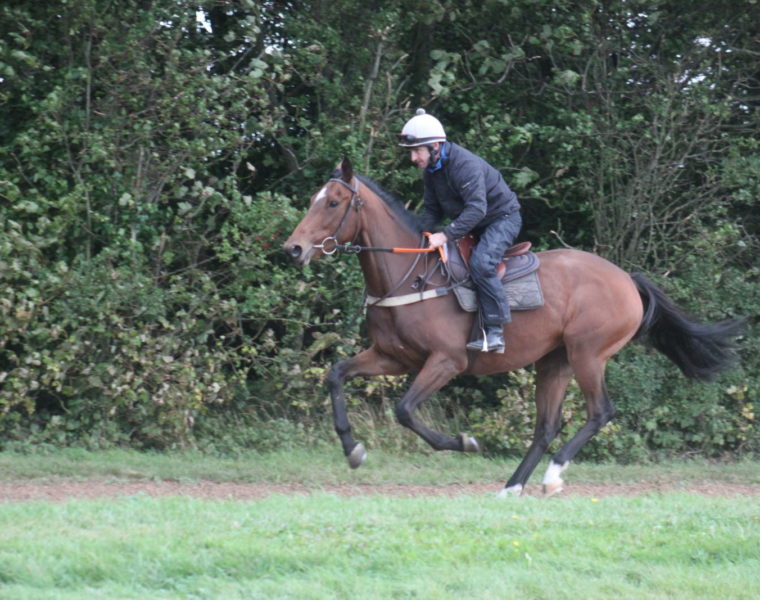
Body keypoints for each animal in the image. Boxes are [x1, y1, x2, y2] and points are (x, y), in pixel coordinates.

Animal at [283, 158, 744, 496]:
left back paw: (552, 476)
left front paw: (465, 443)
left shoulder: (446, 361)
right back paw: (512, 486)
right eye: (314, 199)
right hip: (554, 362)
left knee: (600, 412)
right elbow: (336, 375)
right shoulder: (391, 357)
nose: (293, 249)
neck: (410, 274)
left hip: (588, 354)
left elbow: (405, 410)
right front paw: (353, 450)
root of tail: (627, 280)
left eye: (333, 203)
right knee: (546, 427)